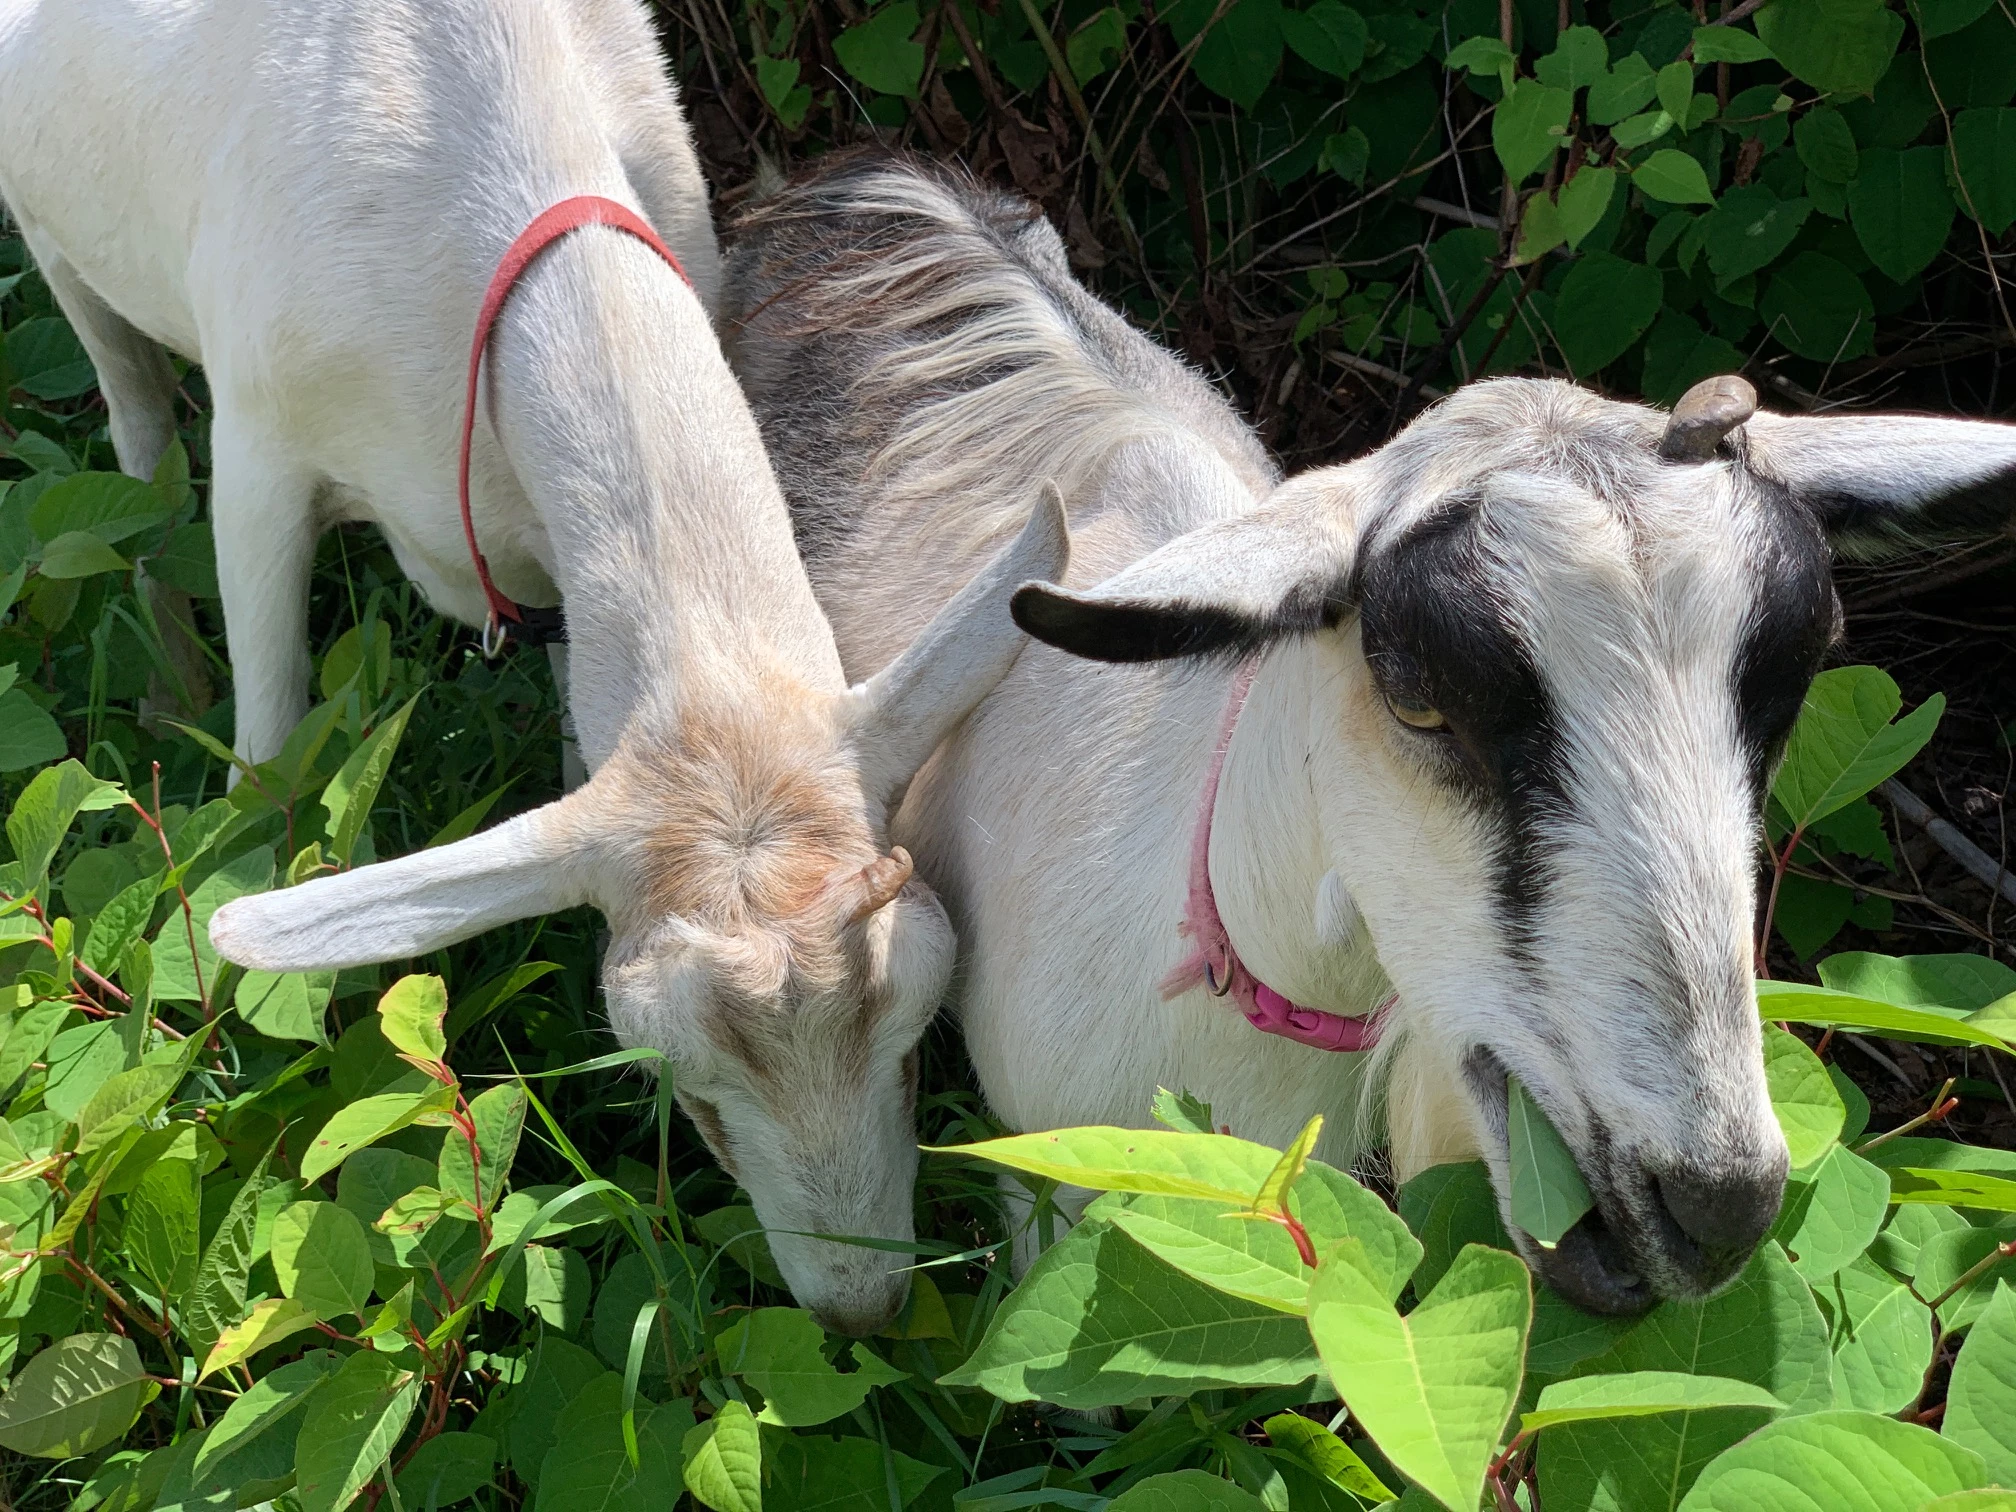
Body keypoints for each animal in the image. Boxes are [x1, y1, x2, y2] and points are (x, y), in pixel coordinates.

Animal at [0, 7, 1066, 1333]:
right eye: (686, 1086)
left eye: (920, 1040)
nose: (862, 1310)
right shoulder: (259, 456)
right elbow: (268, 759)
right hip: (57, 245)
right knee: (139, 436)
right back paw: (171, 684)